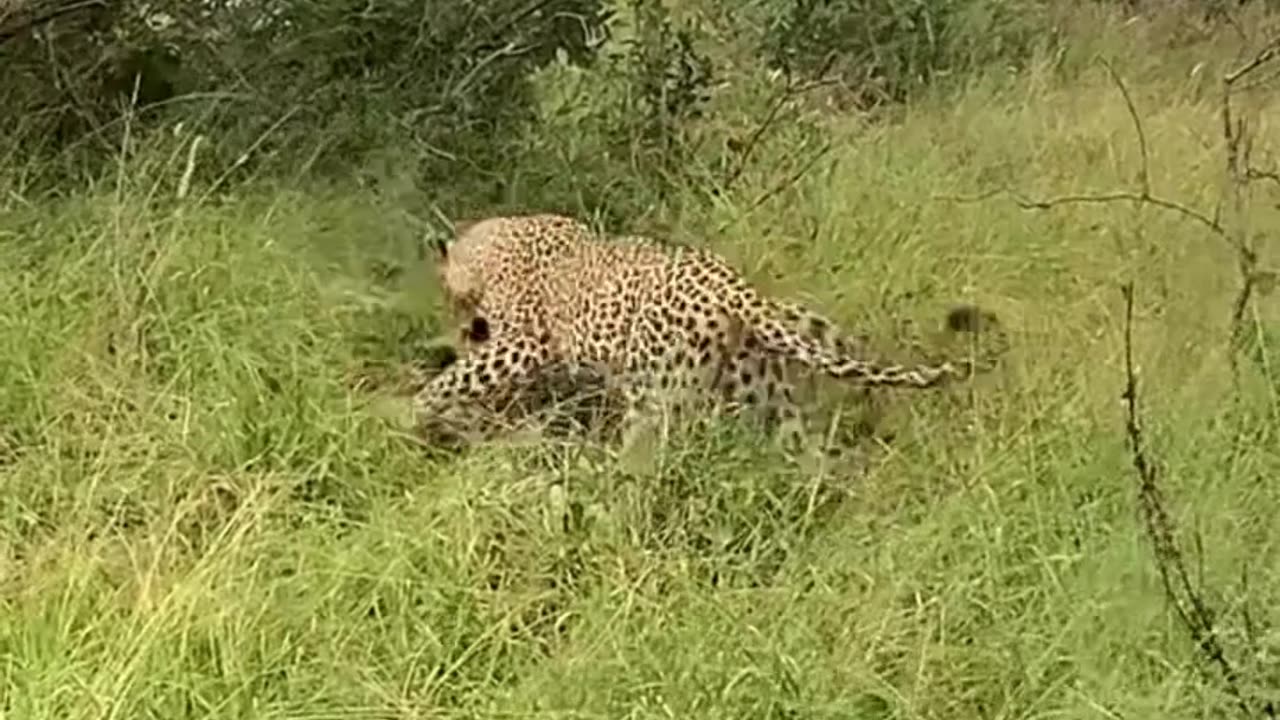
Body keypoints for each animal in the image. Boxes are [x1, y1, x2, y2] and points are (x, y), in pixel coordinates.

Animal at [414, 212, 1003, 448]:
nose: (460, 325)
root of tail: (732, 286)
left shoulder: (523, 342)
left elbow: (462, 377)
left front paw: (421, 407)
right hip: (762, 391)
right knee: (809, 452)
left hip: (656, 397)